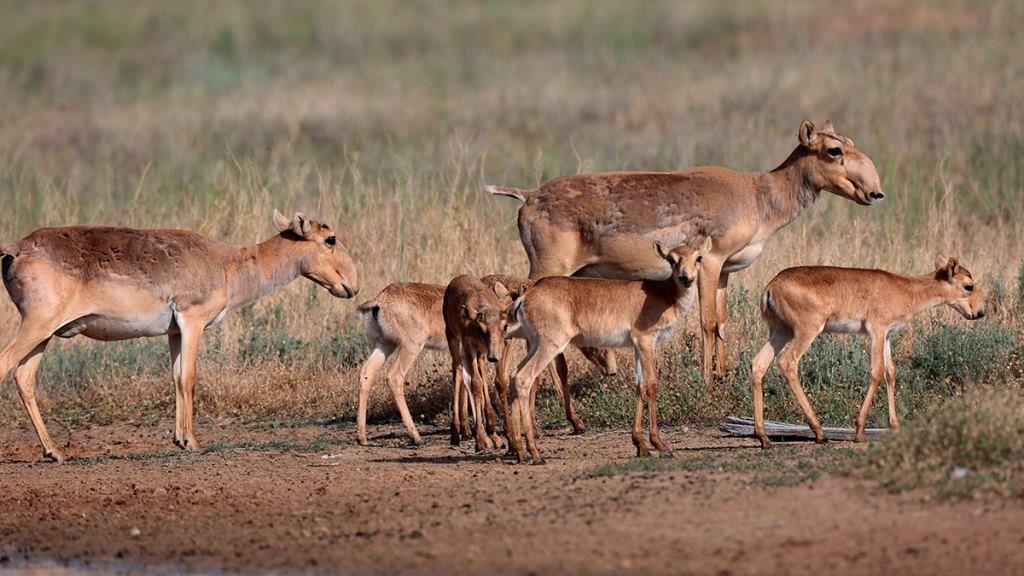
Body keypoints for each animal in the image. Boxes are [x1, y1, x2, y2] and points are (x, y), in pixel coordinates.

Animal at [0, 208, 360, 459]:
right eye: (330, 238)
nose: (352, 286)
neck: (227, 263)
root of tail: (16, 249)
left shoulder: (174, 332)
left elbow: (175, 379)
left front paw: (179, 439)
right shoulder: (192, 321)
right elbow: (189, 378)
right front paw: (194, 442)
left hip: (45, 334)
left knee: (25, 377)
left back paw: (55, 451)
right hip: (37, 325)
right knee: (6, 363)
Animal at [483, 118, 884, 383]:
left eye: (848, 141)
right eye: (833, 150)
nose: (876, 193)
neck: (757, 193)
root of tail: (528, 196)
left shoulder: (724, 272)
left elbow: (722, 322)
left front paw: (721, 375)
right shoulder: (710, 263)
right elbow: (707, 323)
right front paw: (707, 382)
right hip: (547, 269)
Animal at [505, 235, 712, 459]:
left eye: (698, 258)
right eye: (672, 259)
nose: (686, 278)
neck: (664, 295)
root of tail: (526, 296)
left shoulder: (637, 347)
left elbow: (639, 386)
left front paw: (640, 445)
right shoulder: (646, 342)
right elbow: (652, 384)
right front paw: (660, 445)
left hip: (535, 344)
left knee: (513, 376)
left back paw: (519, 450)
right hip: (550, 345)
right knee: (524, 378)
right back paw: (535, 453)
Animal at [753, 255, 983, 448]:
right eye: (968, 286)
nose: (980, 313)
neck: (905, 289)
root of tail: (771, 286)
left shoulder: (887, 335)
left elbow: (891, 373)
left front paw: (895, 425)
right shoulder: (877, 331)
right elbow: (877, 372)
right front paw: (860, 431)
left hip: (781, 331)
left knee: (758, 364)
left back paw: (764, 437)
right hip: (806, 330)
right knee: (788, 362)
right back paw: (819, 432)